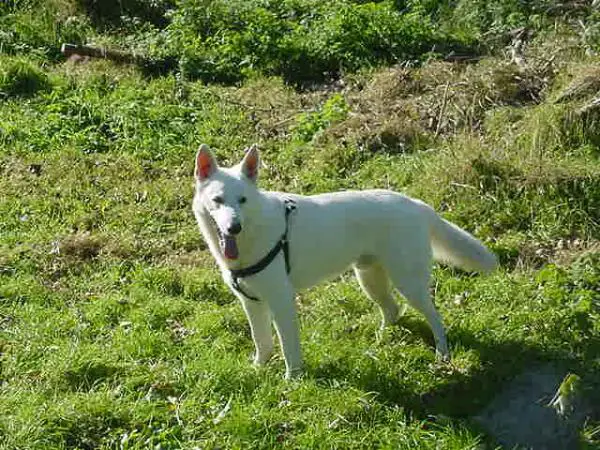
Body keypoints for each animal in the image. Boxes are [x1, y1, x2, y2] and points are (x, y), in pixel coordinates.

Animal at [192, 143, 496, 376]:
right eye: (218, 200)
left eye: (242, 200)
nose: (234, 227)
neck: (253, 233)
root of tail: (417, 204)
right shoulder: (252, 303)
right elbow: (262, 341)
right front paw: (259, 369)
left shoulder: (281, 302)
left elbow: (289, 348)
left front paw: (293, 381)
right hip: (370, 279)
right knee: (393, 310)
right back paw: (381, 341)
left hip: (408, 284)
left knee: (434, 316)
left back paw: (442, 355)